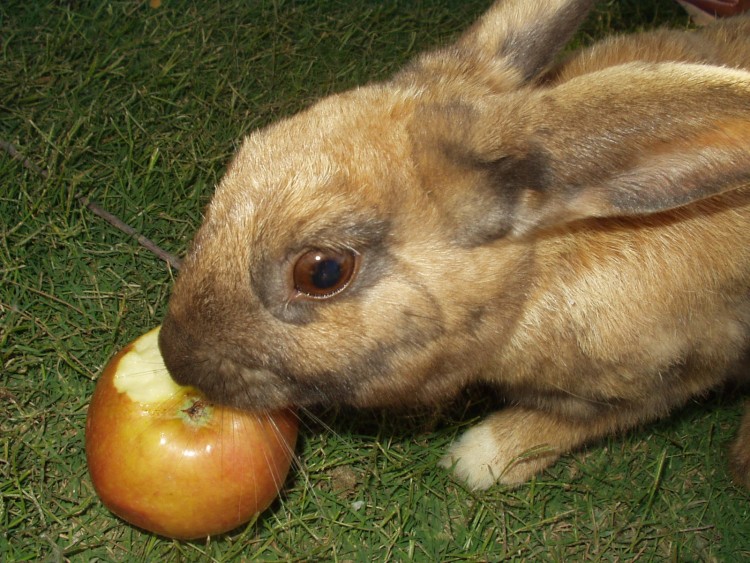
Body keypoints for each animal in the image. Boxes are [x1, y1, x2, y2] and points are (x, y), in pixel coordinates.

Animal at [159, 0, 750, 492]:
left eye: (322, 272)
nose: (175, 357)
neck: (540, 267)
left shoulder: (680, 370)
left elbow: (584, 420)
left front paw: (477, 460)